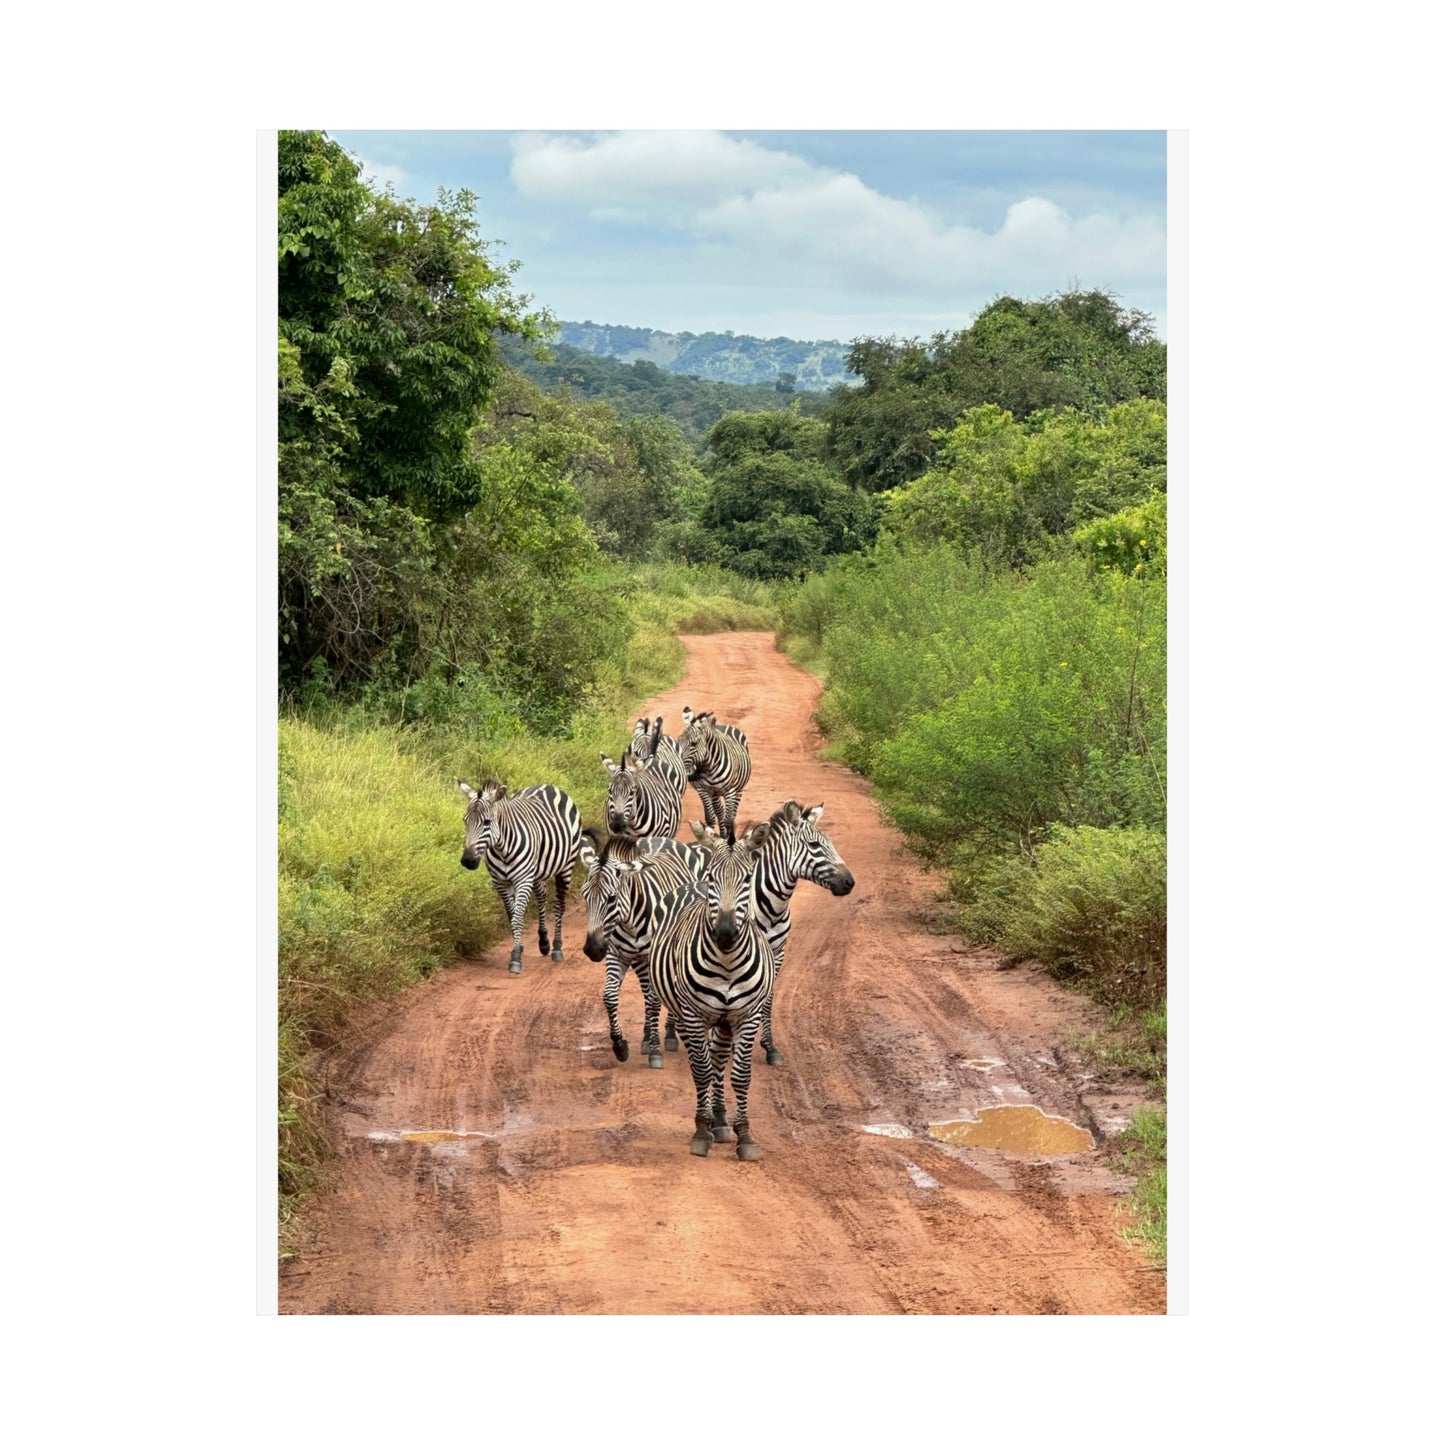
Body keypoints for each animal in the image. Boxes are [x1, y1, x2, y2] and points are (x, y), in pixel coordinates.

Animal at [457, 778, 581, 975]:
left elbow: (517, 918)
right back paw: (544, 942)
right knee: (542, 896)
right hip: (536, 871)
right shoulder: (500, 882)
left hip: (566, 866)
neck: (502, 847)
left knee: (559, 905)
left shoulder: (523, 880)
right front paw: (519, 947)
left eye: (487, 822)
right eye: (465, 820)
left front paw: (515, 958)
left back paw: (556, 948)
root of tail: (547, 785)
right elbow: (512, 915)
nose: (468, 860)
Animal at [579, 828, 707, 1065]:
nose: (593, 949)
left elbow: (655, 1001)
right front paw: (620, 1045)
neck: (628, 921)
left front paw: (656, 1050)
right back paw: (647, 1036)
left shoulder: (651, 956)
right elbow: (610, 997)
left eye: (611, 898)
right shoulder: (615, 954)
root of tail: (661, 839)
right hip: (639, 960)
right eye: (585, 896)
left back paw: (669, 1035)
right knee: (646, 992)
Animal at [648, 818, 776, 1160]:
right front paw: (701, 1131)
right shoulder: (694, 1015)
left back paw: (720, 1120)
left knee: (719, 1058)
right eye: (712, 877)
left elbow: (740, 1075)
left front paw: (744, 1136)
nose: (725, 933)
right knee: (701, 1063)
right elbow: (702, 1071)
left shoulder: (747, 1016)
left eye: (747, 879)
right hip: (684, 1014)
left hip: (725, 1021)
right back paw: (709, 1122)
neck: (727, 962)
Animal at [678, 705, 752, 834]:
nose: (690, 775)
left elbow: (728, 820)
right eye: (678, 741)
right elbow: (710, 818)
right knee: (720, 812)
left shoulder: (730, 791)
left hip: (739, 789)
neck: (709, 766)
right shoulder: (704, 790)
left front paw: (728, 838)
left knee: (731, 815)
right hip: (715, 793)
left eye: (694, 744)